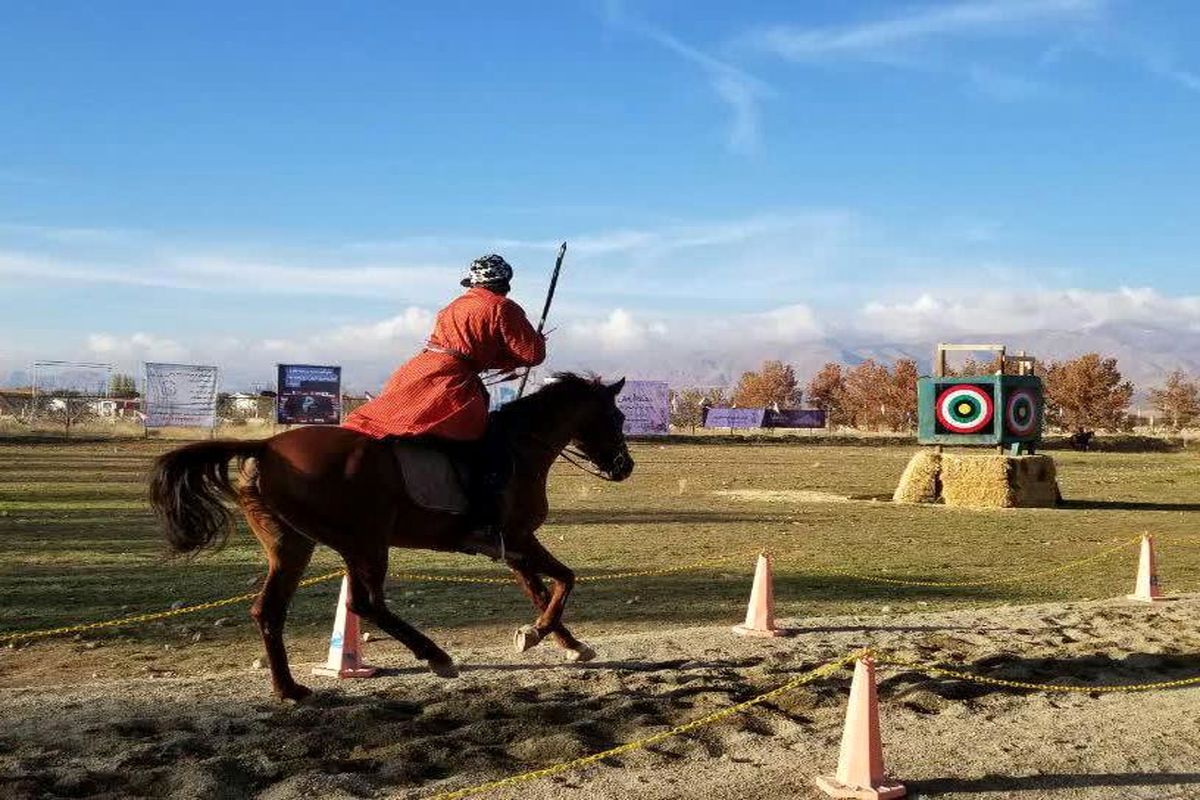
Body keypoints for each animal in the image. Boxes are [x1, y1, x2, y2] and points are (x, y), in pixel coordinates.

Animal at [148, 371, 633, 695]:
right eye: (617, 416)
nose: (624, 467)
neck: (520, 446)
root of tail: (266, 447)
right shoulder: (518, 539)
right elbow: (564, 580)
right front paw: (538, 634)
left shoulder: (510, 547)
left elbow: (540, 590)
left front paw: (566, 643)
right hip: (367, 542)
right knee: (365, 603)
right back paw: (436, 656)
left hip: (297, 547)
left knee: (269, 611)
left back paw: (289, 690)